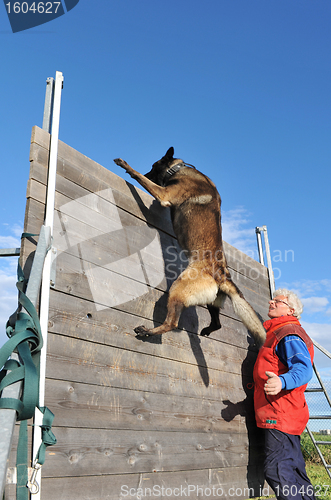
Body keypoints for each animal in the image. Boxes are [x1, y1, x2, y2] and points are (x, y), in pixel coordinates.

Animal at [114, 147, 268, 348]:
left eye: (153, 166)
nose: (148, 173)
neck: (178, 169)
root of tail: (221, 273)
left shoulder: (164, 195)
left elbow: (138, 176)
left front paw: (126, 166)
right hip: (212, 302)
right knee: (217, 323)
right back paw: (206, 330)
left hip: (178, 288)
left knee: (172, 323)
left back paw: (147, 331)